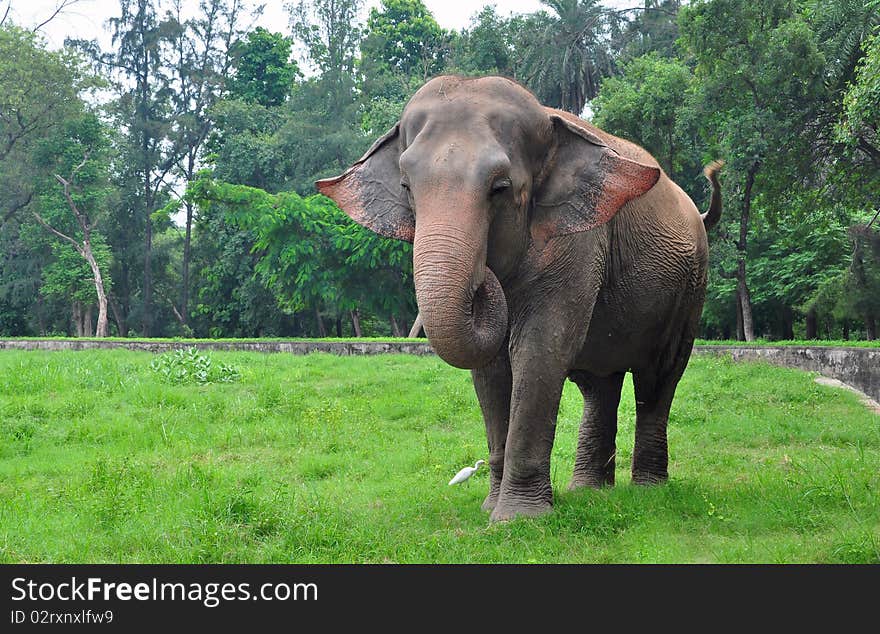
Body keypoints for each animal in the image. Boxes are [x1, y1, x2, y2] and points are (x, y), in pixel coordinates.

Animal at [318, 75, 720, 520]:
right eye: (407, 187)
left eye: (500, 188)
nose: (485, 277)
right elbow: (490, 369)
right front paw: (489, 509)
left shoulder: (577, 244)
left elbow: (541, 349)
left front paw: (517, 520)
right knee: (599, 385)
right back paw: (589, 493)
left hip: (690, 291)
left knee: (658, 378)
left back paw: (648, 492)